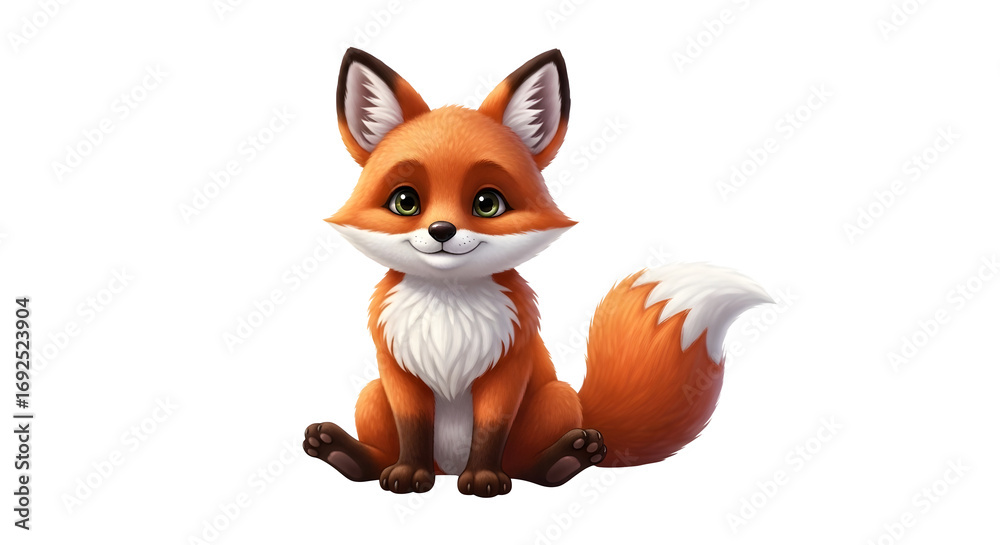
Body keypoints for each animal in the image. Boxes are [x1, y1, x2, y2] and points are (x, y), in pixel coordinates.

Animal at [303, 48, 773, 497]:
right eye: (405, 201)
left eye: (487, 203)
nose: (441, 230)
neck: (448, 311)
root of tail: (447, 467)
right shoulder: (398, 372)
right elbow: (413, 429)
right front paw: (407, 474)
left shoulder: (509, 367)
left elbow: (490, 429)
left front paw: (484, 479)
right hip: (371, 394)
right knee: (382, 452)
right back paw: (344, 453)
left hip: (555, 399)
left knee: (530, 467)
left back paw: (564, 459)